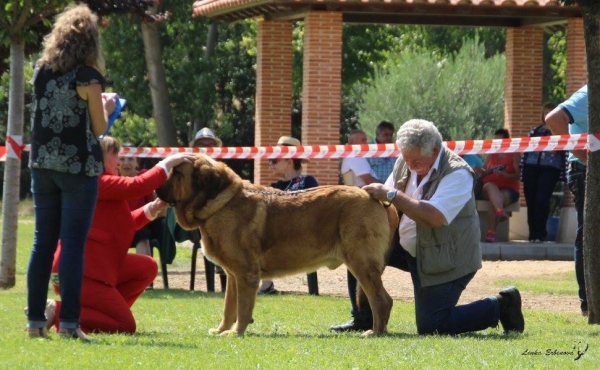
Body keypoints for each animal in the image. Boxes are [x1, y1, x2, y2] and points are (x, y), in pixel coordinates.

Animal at [155, 153, 398, 336]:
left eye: (177, 173)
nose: (156, 186)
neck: (220, 203)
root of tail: (372, 196)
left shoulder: (246, 274)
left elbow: (242, 307)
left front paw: (236, 332)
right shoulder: (233, 276)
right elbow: (229, 306)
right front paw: (222, 330)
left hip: (361, 264)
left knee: (381, 300)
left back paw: (375, 332)